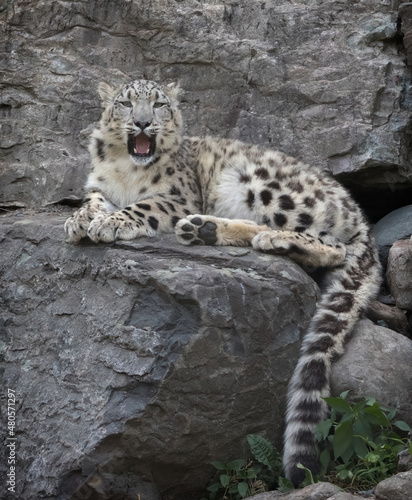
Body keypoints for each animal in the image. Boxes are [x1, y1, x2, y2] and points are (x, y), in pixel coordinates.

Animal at [65, 80, 384, 486]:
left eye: (159, 104)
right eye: (125, 102)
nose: (142, 123)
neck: (126, 169)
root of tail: (359, 214)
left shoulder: (177, 198)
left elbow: (142, 207)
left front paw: (111, 223)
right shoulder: (98, 186)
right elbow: (90, 200)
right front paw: (79, 220)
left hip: (269, 188)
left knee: (333, 245)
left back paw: (273, 239)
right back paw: (205, 230)